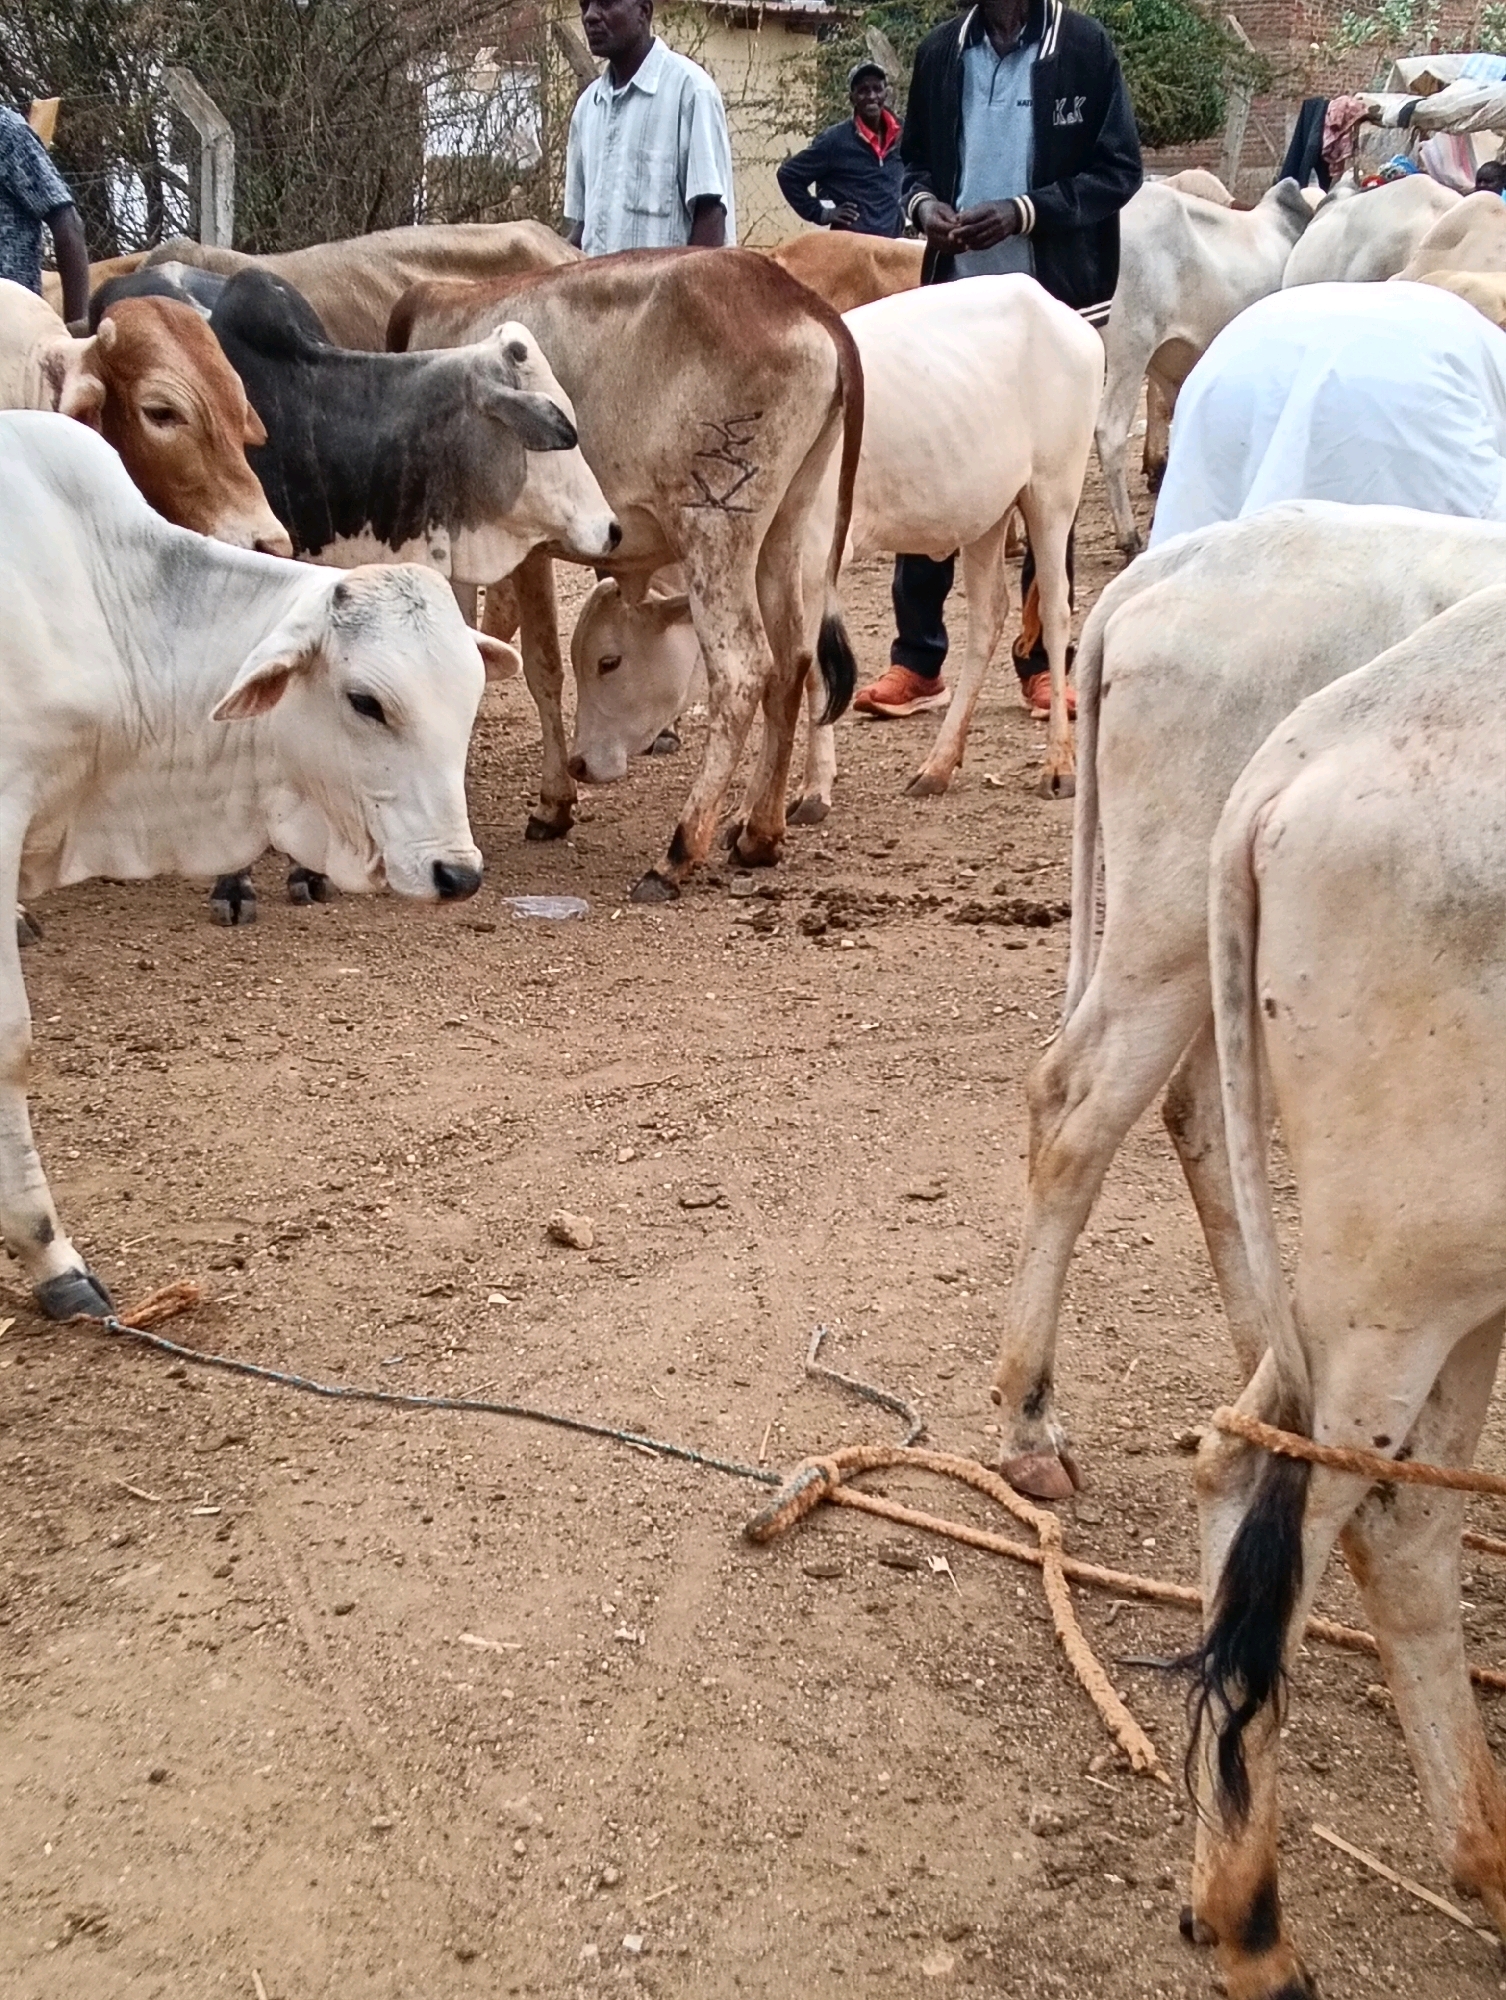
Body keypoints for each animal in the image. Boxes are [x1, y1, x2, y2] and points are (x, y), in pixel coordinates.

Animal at [391, 249, 862, 902]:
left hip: (715, 532)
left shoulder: (508, 549)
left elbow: (536, 667)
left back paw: (678, 852)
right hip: (781, 533)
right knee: (792, 661)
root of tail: (801, 301)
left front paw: (553, 804)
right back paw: (759, 835)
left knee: (744, 670)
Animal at [566, 274, 1102, 809]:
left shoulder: (810, 558)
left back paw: (1058, 764)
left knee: (1055, 615)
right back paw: (938, 765)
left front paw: (810, 788)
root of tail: (1056, 308)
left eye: (608, 661)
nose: (579, 765)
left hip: (1052, 493)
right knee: (988, 616)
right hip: (985, 515)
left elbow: (809, 669)